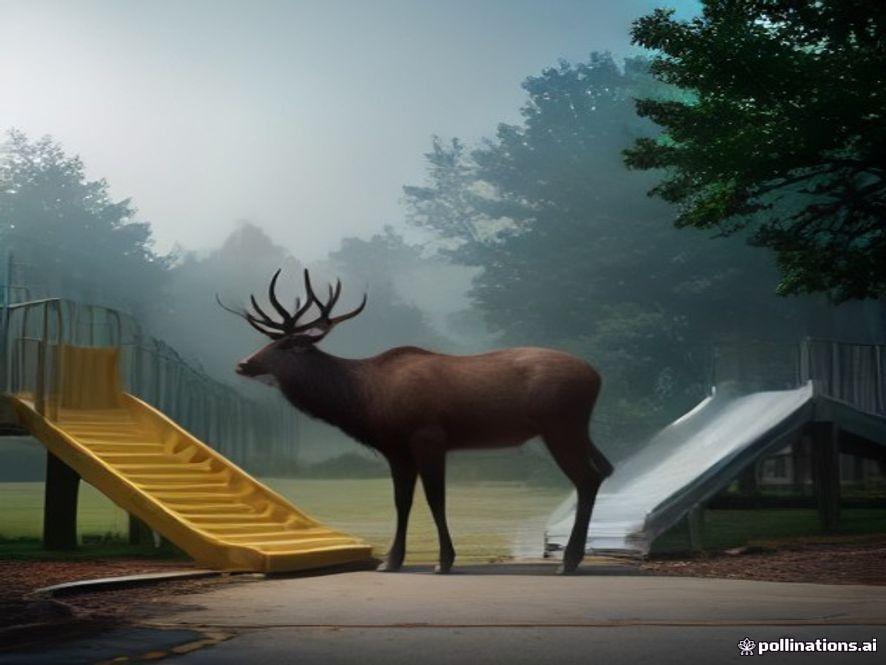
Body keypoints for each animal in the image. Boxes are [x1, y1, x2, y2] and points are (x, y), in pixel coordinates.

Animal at [219, 269, 613, 574]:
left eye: (284, 346)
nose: (242, 363)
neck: (366, 400)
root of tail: (596, 376)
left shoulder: (428, 436)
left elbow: (435, 497)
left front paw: (444, 561)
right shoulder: (396, 448)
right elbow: (401, 501)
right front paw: (391, 561)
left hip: (559, 425)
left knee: (587, 477)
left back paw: (569, 561)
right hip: (577, 428)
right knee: (603, 469)